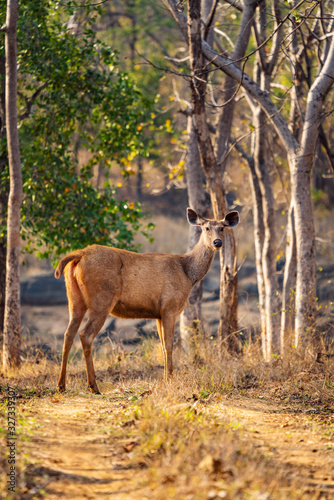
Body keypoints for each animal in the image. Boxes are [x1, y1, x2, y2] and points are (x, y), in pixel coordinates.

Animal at [54, 208, 237, 394]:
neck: (187, 273)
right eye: (206, 227)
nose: (217, 242)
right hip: (102, 299)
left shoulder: (158, 313)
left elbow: (162, 346)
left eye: (222, 227)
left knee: (68, 334)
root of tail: (80, 254)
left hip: (74, 299)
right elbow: (169, 345)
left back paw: (61, 385)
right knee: (86, 335)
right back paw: (93, 386)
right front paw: (169, 380)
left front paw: (166, 378)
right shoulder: (170, 306)